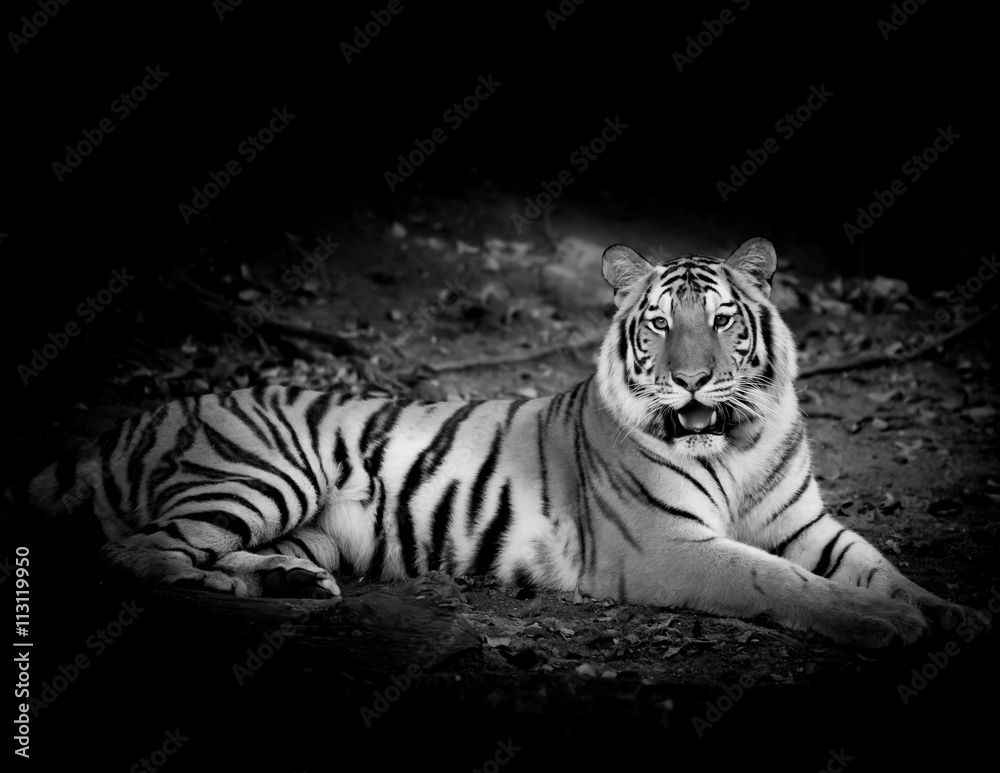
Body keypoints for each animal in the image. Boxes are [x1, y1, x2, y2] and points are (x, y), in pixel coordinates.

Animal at [12, 237, 975, 648]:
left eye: (724, 320)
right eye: (661, 324)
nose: (694, 381)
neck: (733, 443)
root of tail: (139, 416)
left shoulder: (807, 523)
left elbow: (880, 564)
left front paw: (947, 613)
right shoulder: (669, 546)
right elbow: (780, 581)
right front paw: (883, 626)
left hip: (310, 519)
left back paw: (290, 580)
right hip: (264, 472)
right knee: (139, 552)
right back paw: (237, 587)